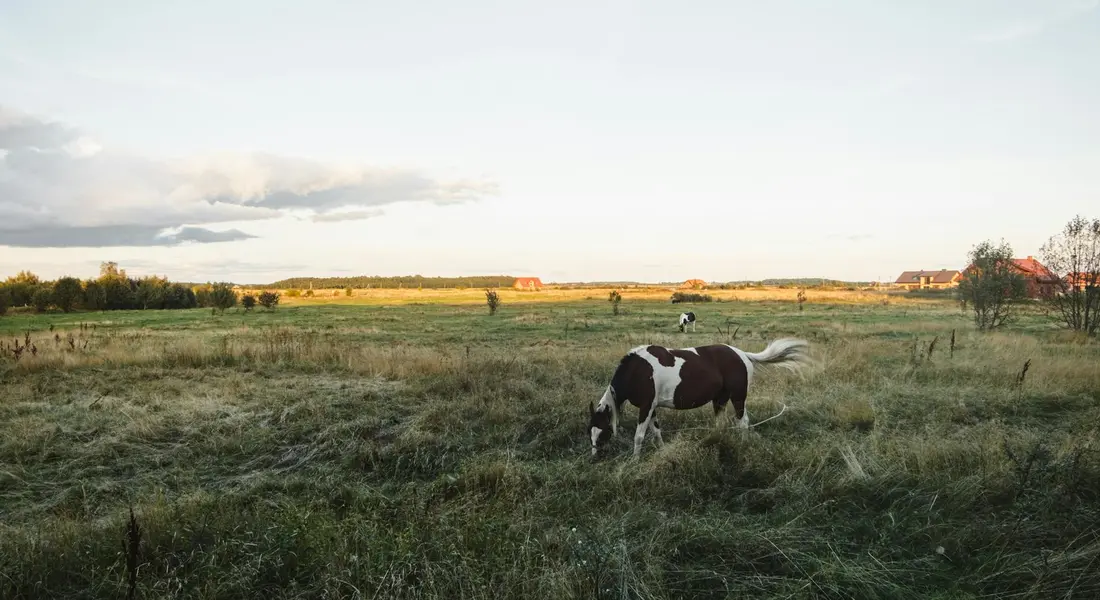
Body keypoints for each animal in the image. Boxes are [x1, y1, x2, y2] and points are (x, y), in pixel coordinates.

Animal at [588, 338, 812, 457]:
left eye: (603, 432)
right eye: (590, 431)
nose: (595, 457)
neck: (638, 371)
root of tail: (742, 354)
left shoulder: (645, 407)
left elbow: (639, 436)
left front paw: (635, 460)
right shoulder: (652, 408)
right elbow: (656, 431)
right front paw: (662, 450)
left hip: (738, 397)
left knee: (743, 423)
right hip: (720, 399)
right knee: (723, 423)